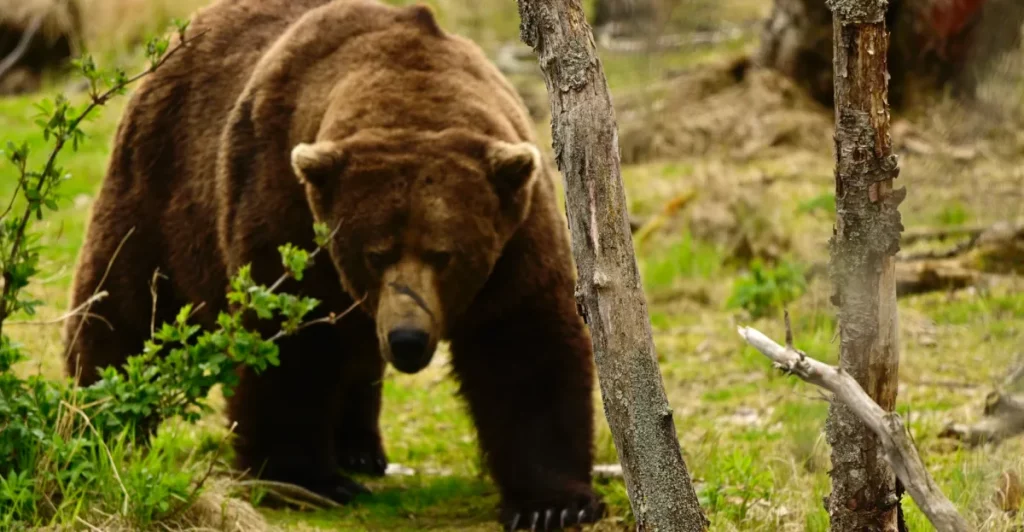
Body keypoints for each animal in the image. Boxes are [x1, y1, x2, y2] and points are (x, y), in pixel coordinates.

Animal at [61, 0, 604, 529]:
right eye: (376, 253)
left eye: (444, 254)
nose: (408, 339)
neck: (410, 97)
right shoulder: (288, 210)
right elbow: (291, 343)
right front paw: (304, 479)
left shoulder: (516, 236)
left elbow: (523, 345)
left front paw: (554, 504)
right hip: (162, 181)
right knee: (125, 302)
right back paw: (99, 419)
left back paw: (361, 449)